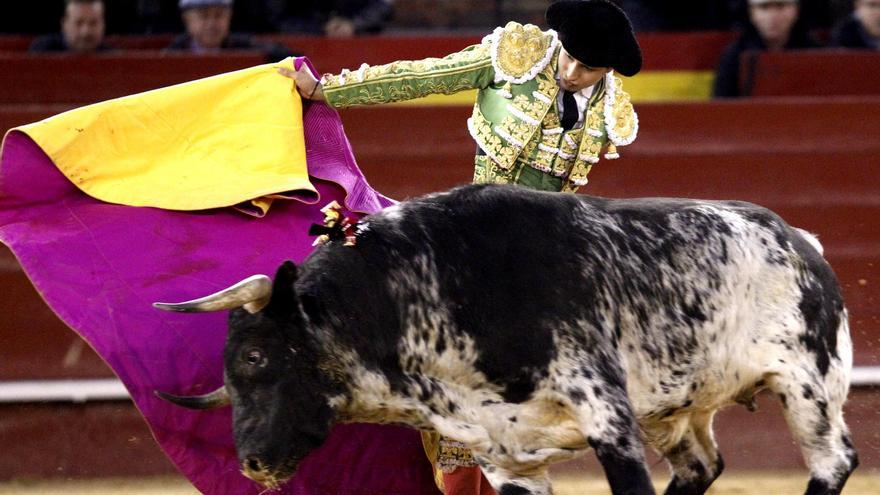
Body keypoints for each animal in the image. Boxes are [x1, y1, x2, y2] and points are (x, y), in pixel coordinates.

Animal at [155, 184, 856, 495]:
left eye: (255, 355)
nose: (251, 462)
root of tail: (801, 239)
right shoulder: (503, 456)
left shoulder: (607, 418)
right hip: (679, 409)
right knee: (701, 466)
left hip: (808, 386)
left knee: (833, 461)